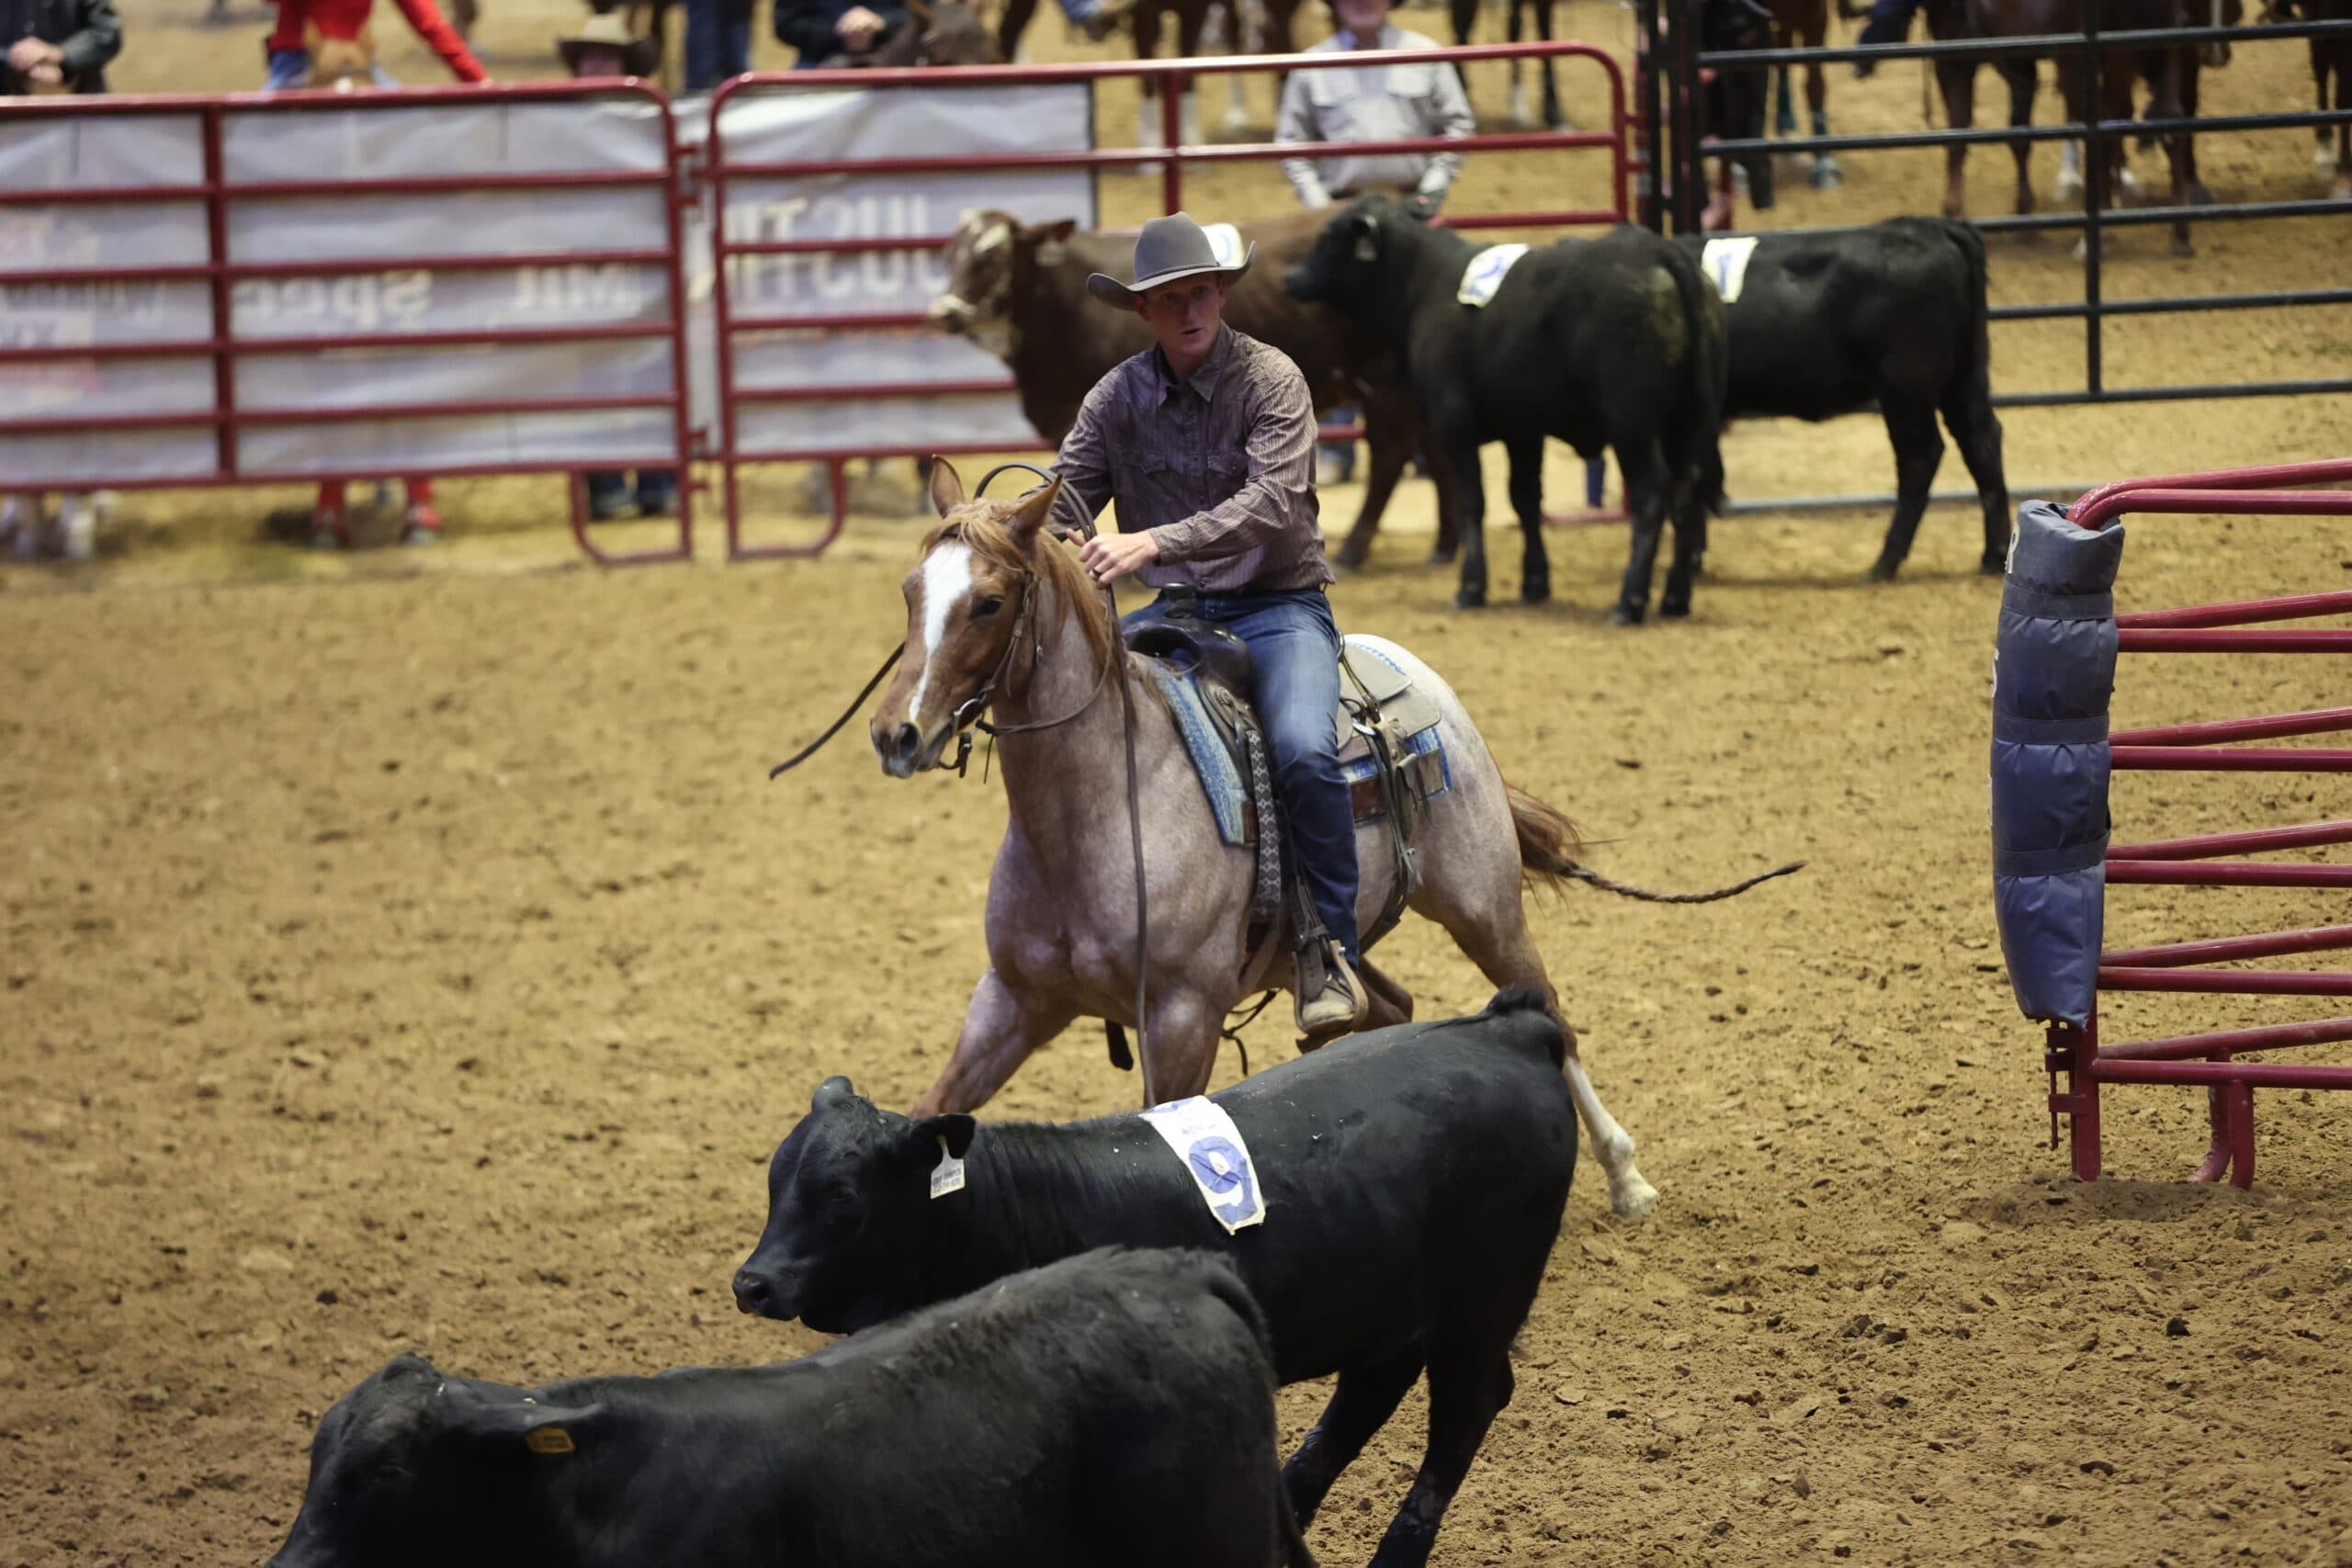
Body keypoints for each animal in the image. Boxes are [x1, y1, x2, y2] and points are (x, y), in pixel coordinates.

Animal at [733, 989, 1578, 1568]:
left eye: (842, 1197)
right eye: (775, 1178)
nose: (754, 1283)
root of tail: (1509, 1027)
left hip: (1485, 1297)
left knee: (1465, 1408)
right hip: (1394, 1303)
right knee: (1370, 1391)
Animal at [847, 459, 1801, 1222]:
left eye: (988, 602)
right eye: (908, 593)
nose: (896, 734)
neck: (1099, 815)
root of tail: (1418, 679)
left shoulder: (1181, 1017)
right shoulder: (1011, 1000)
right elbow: (934, 1107)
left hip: (1484, 907)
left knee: (1551, 1015)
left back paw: (1626, 1177)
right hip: (1343, 946)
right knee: (1392, 1007)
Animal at [928, 206, 1461, 572]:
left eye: (992, 255)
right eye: (951, 254)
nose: (944, 313)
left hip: (1385, 381)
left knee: (1391, 454)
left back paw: (1355, 548)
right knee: (1434, 446)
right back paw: (1444, 545)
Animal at [1283, 195, 1728, 620]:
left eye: (1329, 236)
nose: (1290, 277)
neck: (1425, 284)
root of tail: (1657, 252)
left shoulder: (1455, 426)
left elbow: (1472, 502)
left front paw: (1470, 588)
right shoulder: (1523, 430)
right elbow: (1525, 499)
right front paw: (1534, 583)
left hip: (1632, 423)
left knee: (1652, 495)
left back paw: (1629, 602)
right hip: (1685, 422)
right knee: (1686, 495)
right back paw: (1675, 598)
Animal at [1680, 218, 2009, 580]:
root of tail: (1933, 227)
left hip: (1905, 384)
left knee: (1920, 456)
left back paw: (1885, 562)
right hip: (1963, 377)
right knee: (1981, 443)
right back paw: (1994, 556)